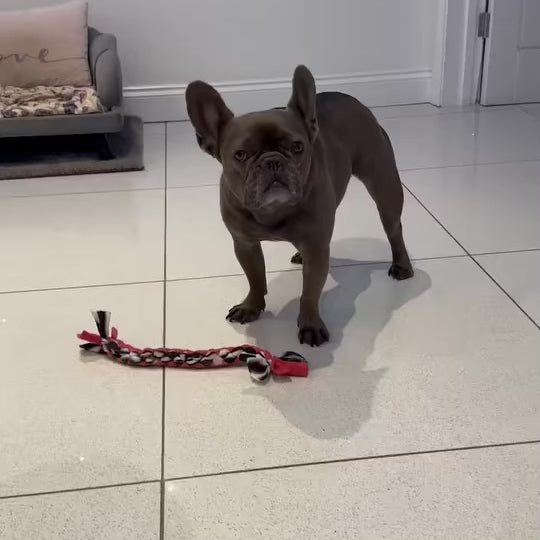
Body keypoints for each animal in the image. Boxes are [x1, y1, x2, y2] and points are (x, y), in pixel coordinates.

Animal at [185, 65, 413, 347]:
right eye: (240, 155)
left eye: (297, 146)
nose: (272, 161)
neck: (273, 212)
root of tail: (358, 104)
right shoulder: (245, 244)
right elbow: (255, 278)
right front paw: (251, 306)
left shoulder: (316, 248)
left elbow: (310, 292)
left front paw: (310, 324)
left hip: (384, 186)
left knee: (394, 229)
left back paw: (402, 265)